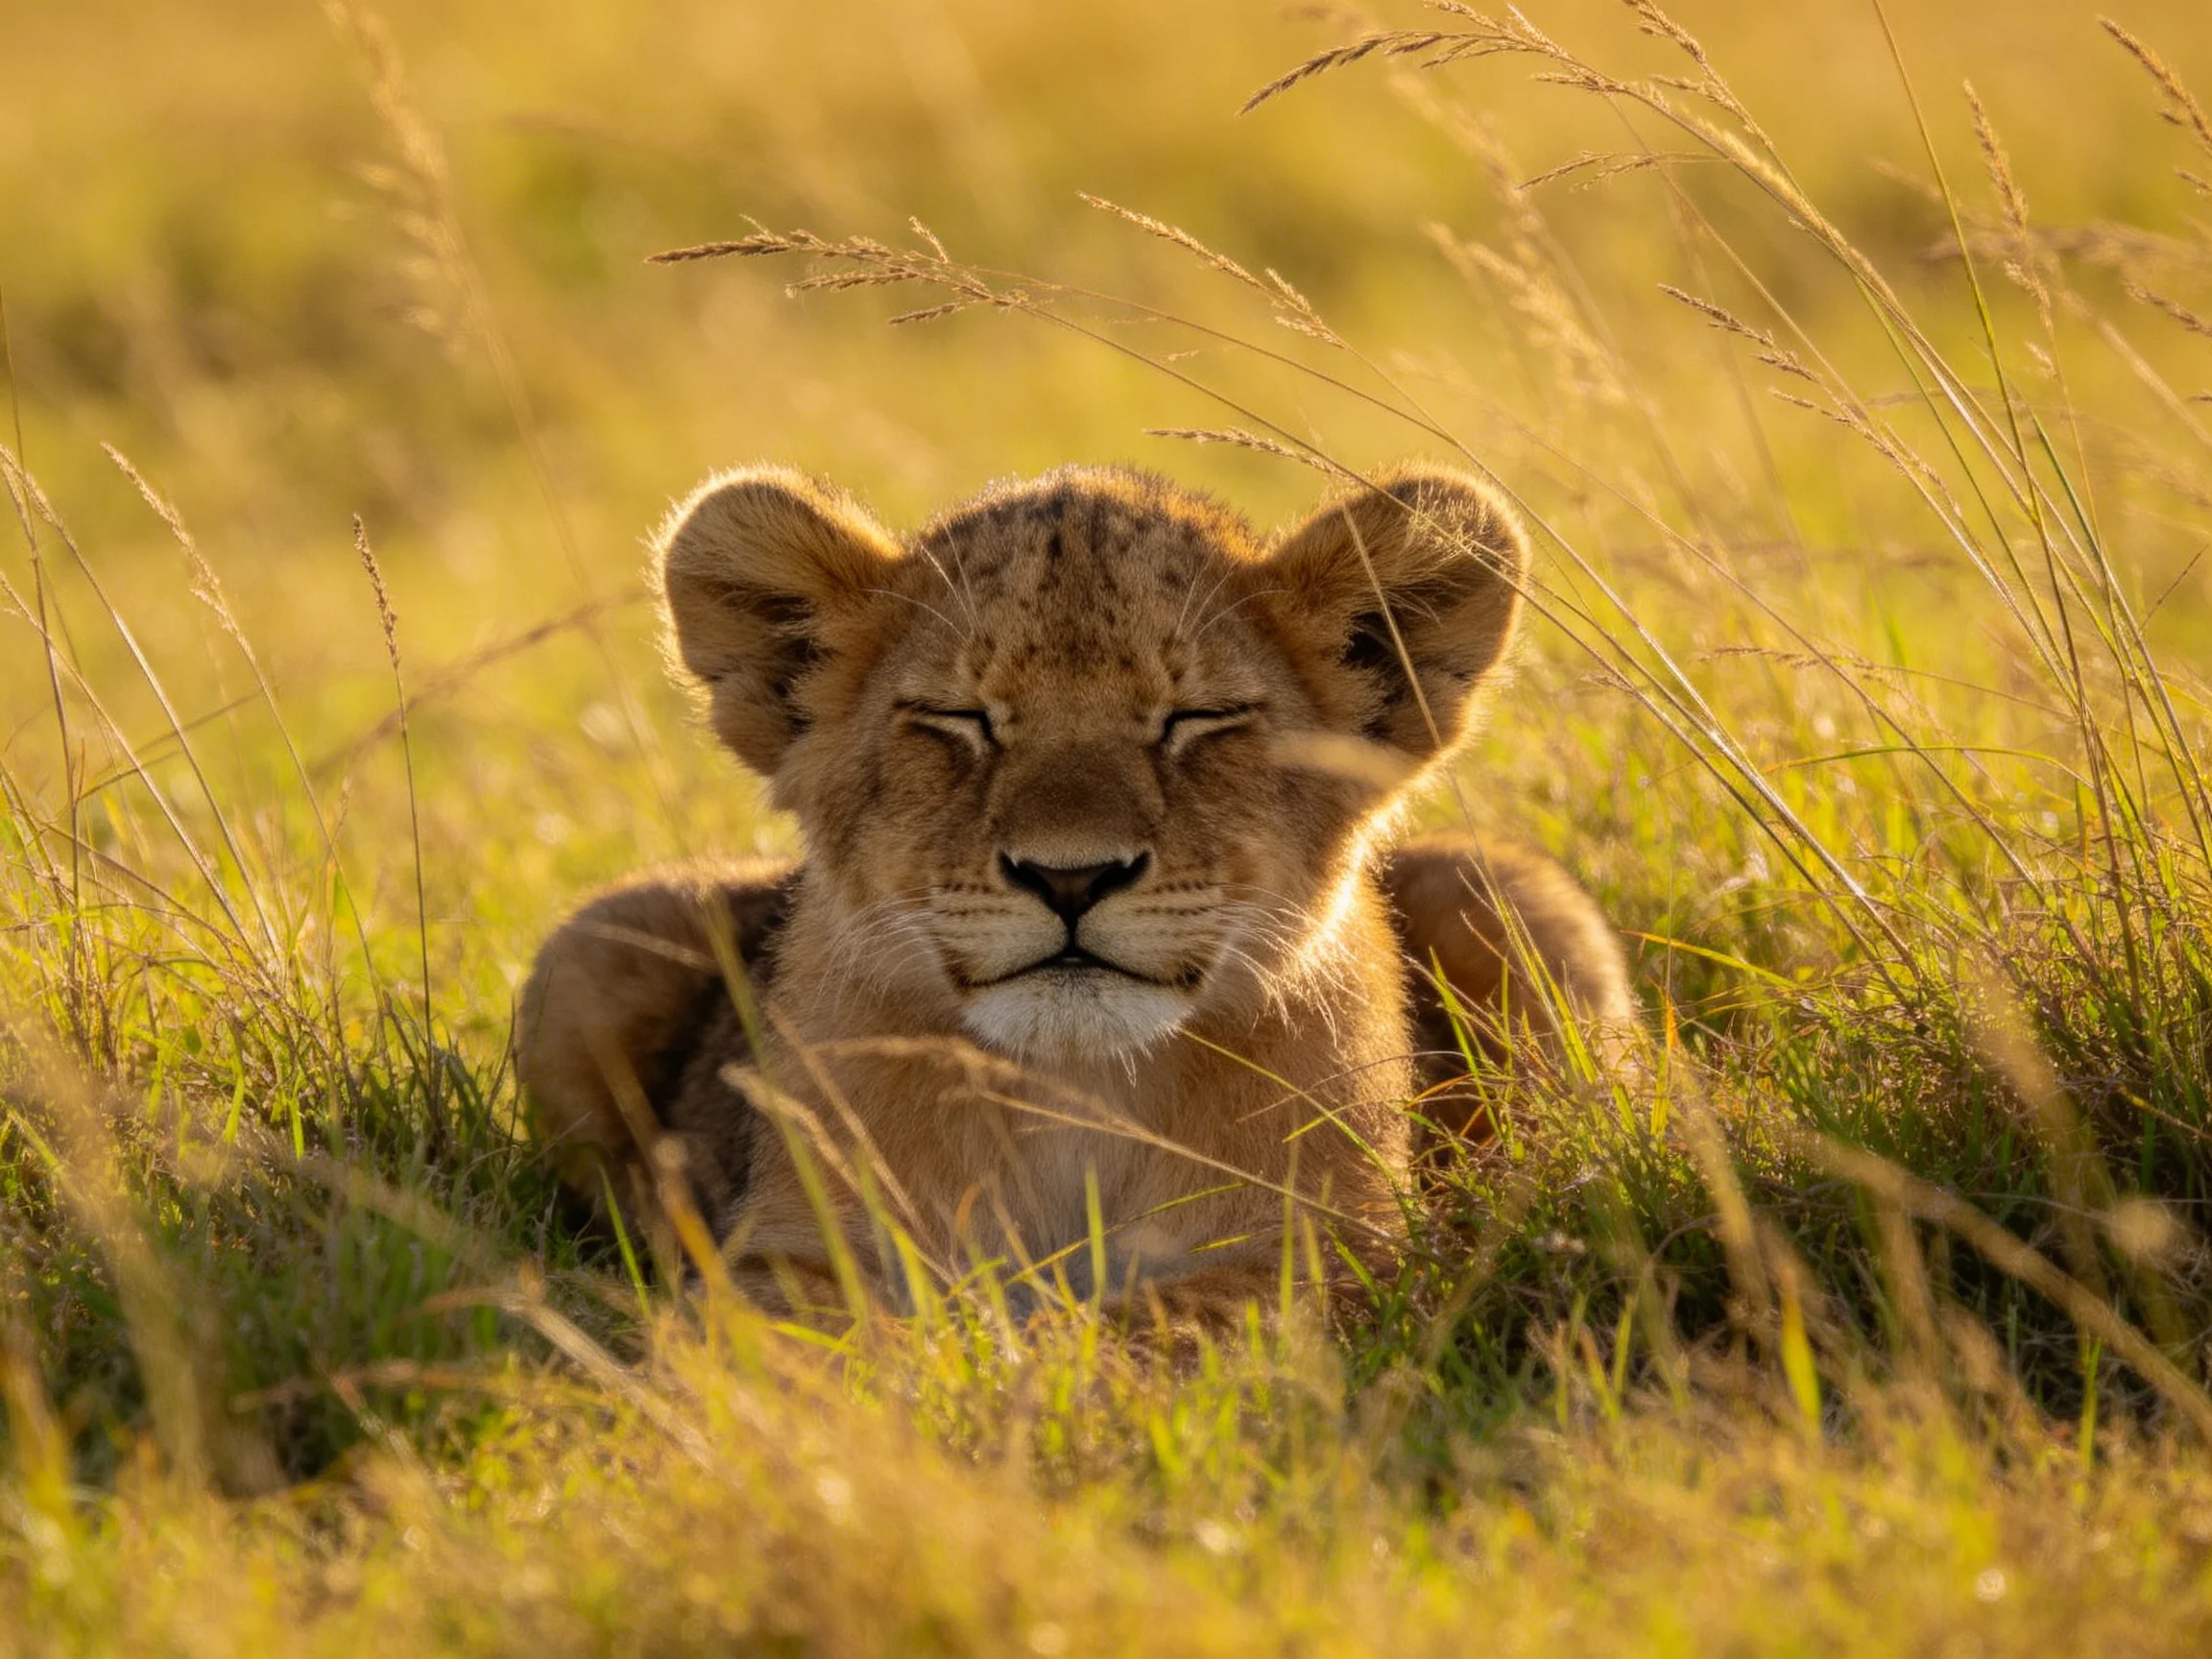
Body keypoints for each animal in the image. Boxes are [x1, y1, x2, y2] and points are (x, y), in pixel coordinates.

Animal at [518, 463, 1635, 1330]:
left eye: (1197, 719)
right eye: (959, 718)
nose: (1070, 876)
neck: (1076, 1091)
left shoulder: (1329, 1250)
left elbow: (1143, 1326)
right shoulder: (789, 1251)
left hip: (1512, 891)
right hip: (595, 938)